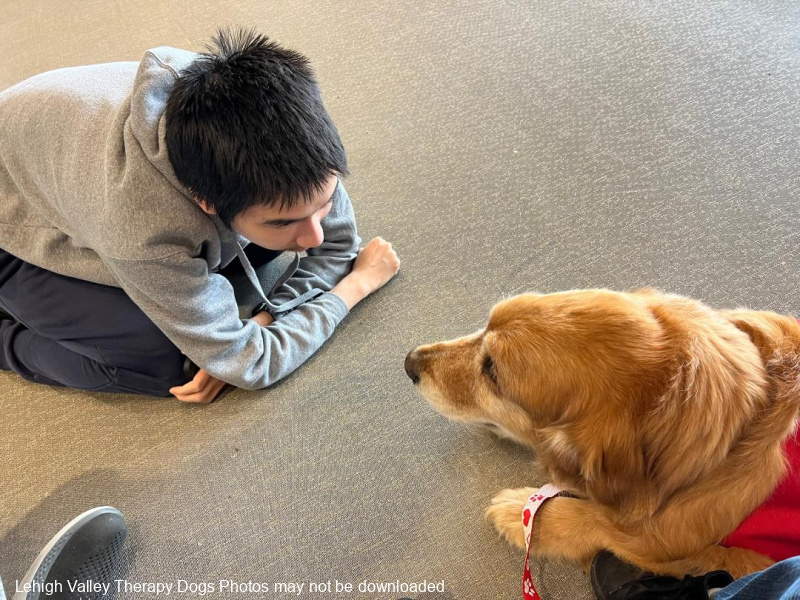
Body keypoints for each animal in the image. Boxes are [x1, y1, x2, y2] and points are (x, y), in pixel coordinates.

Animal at [405, 289, 800, 578]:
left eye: (492, 372)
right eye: (484, 327)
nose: (410, 362)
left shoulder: (682, 545)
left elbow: (594, 521)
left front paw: (519, 511)